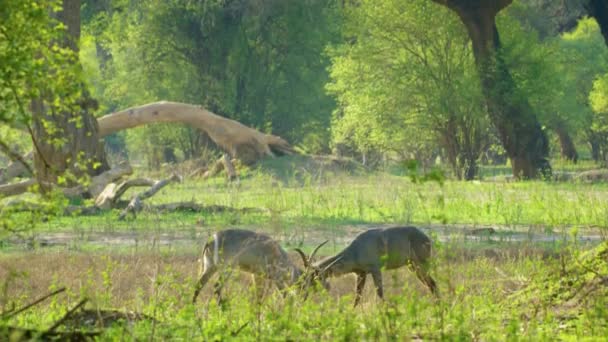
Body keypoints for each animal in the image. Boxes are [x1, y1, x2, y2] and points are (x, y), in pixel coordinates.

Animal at [191, 228, 330, 304]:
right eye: (306, 282)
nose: (304, 298)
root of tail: (210, 240)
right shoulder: (276, 278)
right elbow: (283, 294)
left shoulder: (257, 276)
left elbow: (259, 296)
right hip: (226, 268)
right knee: (217, 287)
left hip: (210, 267)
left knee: (198, 285)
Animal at [294, 226, 436, 306]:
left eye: (311, 278)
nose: (301, 294)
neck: (355, 251)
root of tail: (427, 238)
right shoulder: (360, 274)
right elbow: (357, 296)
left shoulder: (375, 269)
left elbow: (380, 293)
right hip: (412, 266)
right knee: (430, 284)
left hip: (421, 263)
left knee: (433, 284)